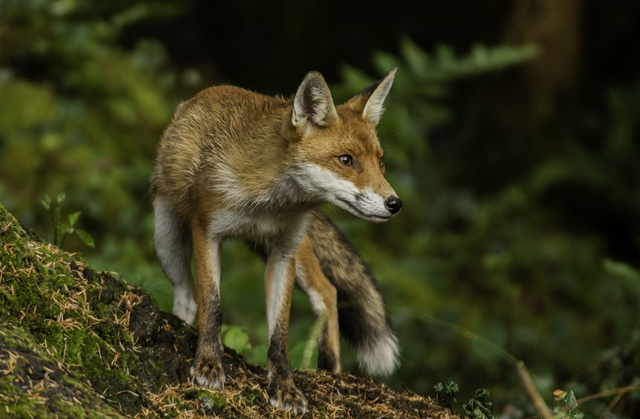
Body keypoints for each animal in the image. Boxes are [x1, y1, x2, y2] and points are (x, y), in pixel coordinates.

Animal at [150, 68, 402, 414]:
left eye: (381, 163)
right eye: (346, 160)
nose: (395, 204)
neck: (268, 205)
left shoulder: (284, 251)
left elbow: (279, 334)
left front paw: (283, 387)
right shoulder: (206, 231)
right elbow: (213, 306)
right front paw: (208, 363)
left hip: (298, 251)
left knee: (328, 291)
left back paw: (331, 370)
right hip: (166, 239)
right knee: (188, 297)